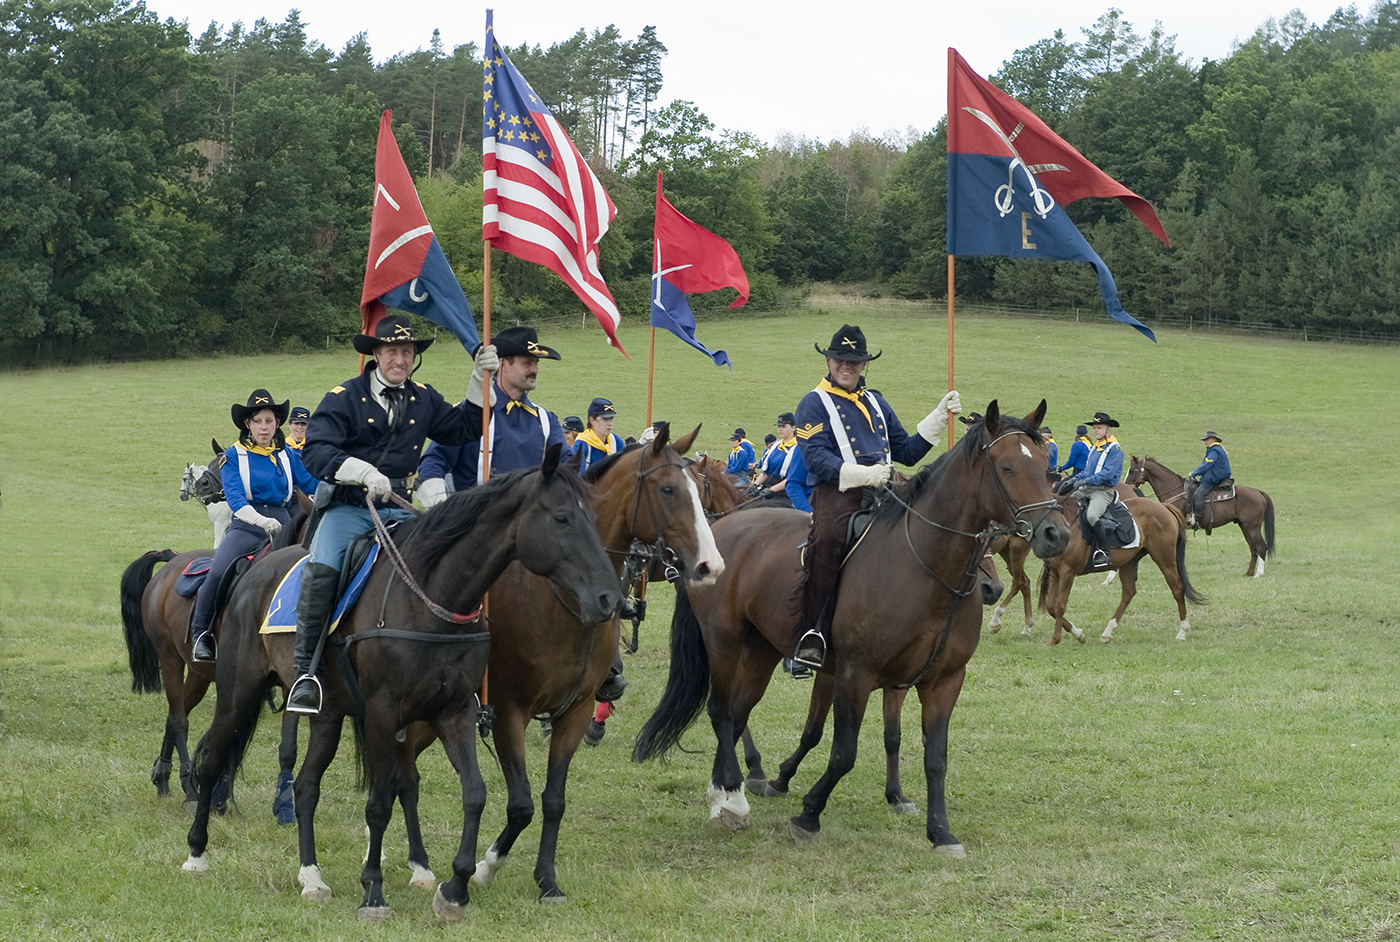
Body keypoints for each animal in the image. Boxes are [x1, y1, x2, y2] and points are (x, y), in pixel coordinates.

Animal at [183, 448, 622, 923]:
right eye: (561, 518)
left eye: (593, 518)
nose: (610, 600)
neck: (433, 598)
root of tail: (252, 574)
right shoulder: (383, 713)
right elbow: (378, 804)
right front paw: (374, 893)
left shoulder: (455, 712)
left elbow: (475, 793)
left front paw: (456, 888)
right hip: (238, 694)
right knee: (212, 760)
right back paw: (196, 854)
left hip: (328, 715)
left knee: (305, 787)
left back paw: (312, 878)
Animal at [394, 427, 724, 902]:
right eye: (667, 490)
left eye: (700, 487)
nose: (710, 566)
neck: (562, 596)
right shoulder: (509, 714)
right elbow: (521, 804)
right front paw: (484, 870)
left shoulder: (575, 711)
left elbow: (553, 801)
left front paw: (546, 880)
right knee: (402, 775)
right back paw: (415, 865)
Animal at [634, 401, 1069, 852]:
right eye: (1007, 467)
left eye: (1044, 466)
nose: (1057, 534)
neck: (926, 566)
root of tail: (721, 530)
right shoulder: (853, 674)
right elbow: (842, 751)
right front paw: (808, 813)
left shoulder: (942, 680)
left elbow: (933, 756)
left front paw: (939, 831)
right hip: (724, 642)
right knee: (720, 711)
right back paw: (731, 799)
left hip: (761, 651)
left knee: (737, 715)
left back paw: (729, 789)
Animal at [1037, 493, 1205, 644]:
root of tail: (1163, 506)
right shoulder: (1055, 571)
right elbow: (1051, 607)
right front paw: (1077, 633)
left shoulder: (1067, 571)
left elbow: (1059, 606)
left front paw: (1057, 639)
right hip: (1129, 561)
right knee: (1129, 592)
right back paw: (1108, 632)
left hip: (1165, 560)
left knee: (1177, 589)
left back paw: (1182, 631)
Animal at [1127, 455, 1276, 577]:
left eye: (1132, 470)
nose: (1127, 485)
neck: (1176, 491)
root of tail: (1258, 492)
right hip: (1244, 526)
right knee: (1253, 548)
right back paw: (1249, 573)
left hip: (1252, 527)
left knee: (1261, 546)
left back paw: (1258, 574)